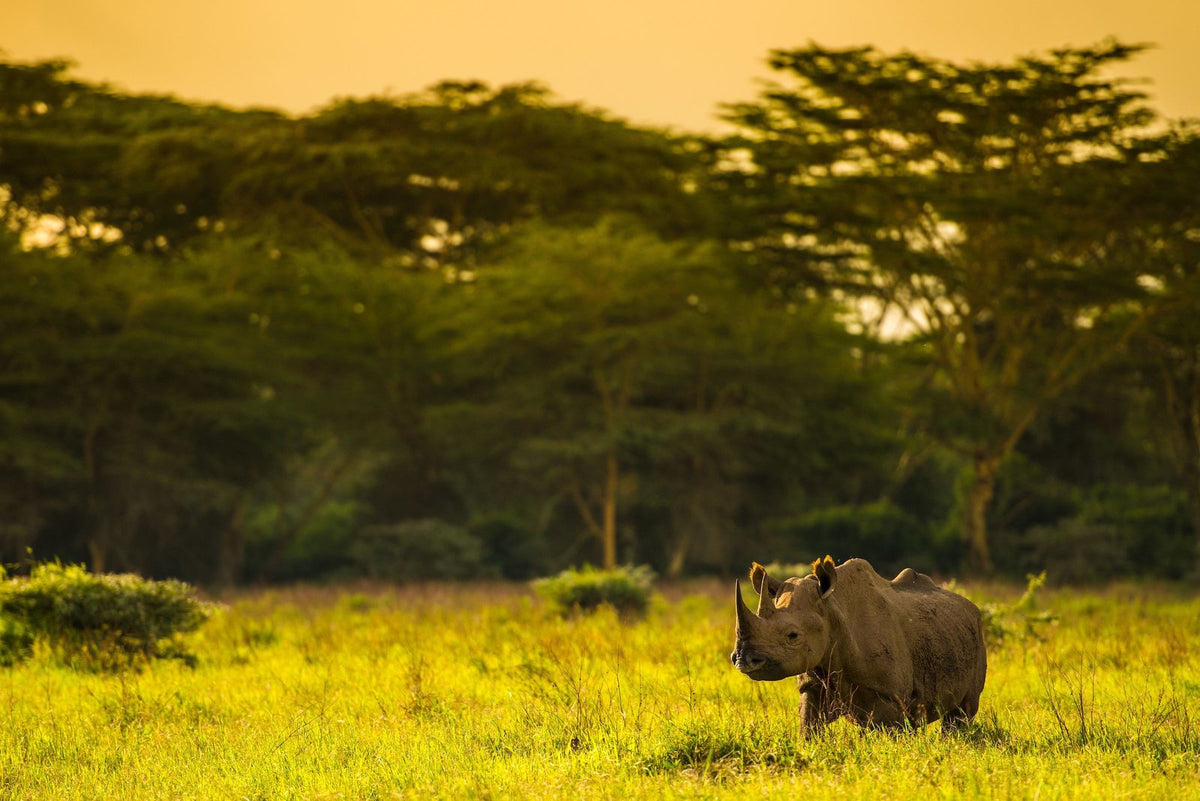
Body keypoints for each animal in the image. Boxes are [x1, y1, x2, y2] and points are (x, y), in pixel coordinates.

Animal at [730, 556, 986, 732]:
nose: (742, 659)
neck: (831, 611)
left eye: (792, 636)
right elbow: (808, 727)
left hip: (975, 637)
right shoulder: (812, 682)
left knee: (961, 713)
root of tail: (971, 605)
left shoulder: (890, 694)